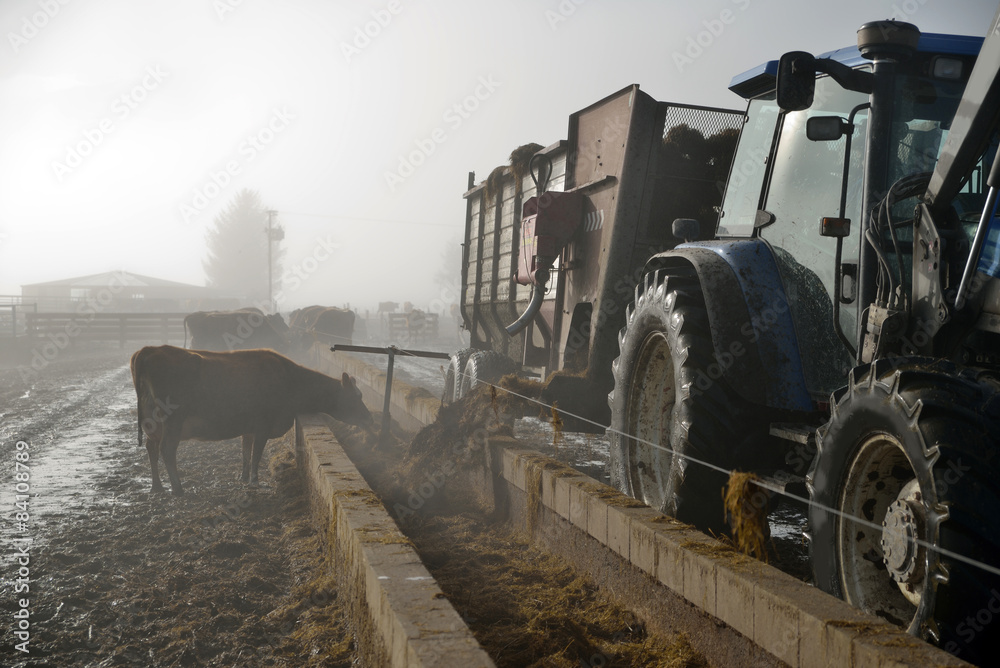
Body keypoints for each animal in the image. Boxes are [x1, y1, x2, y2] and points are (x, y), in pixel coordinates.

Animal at [129, 348, 372, 494]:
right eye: (356, 396)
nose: (369, 417)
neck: (290, 379)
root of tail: (150, 350)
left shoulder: (248, 427)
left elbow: (246, 452)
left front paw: (244, 477)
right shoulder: (263, 425)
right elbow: (256, 454)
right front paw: (255, 480)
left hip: (153, 424)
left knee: (151, 448)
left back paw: (157, 486)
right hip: (173, 422)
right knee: (166, 450)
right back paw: (178, 488)